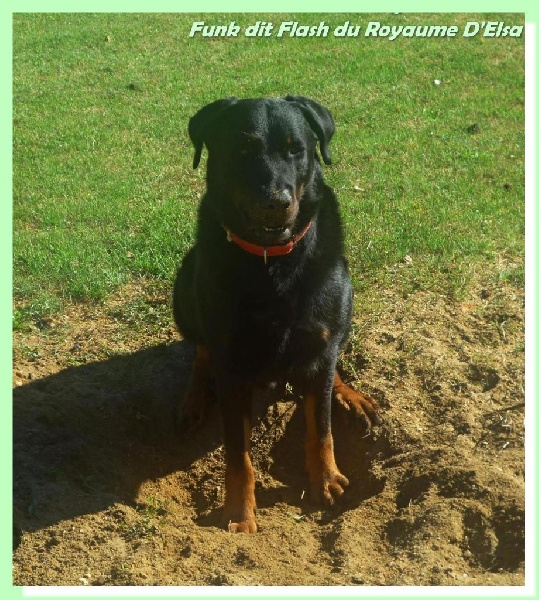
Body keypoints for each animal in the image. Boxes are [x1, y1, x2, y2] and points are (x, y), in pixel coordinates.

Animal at [173, 96, 381, 533]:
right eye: (242, 150)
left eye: (295, 150)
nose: (276, 202)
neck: (272, 262)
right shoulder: (233, 367)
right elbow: (238, 453)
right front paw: (239, 511)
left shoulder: (319, 338)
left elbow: (321, 425)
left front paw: (326, 478)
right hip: (184, 283)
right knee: (200, 351)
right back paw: (193, 398)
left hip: (345, 292)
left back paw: (350, 395)